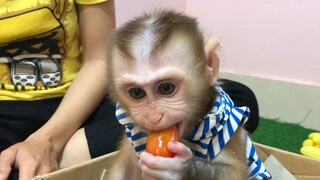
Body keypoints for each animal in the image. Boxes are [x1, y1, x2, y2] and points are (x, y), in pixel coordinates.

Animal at [107, 9, 270, 180]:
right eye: (137, 92)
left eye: (166, 88)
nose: (153, 117)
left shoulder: (228, 129)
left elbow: (232, 172)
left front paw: (182, 168)